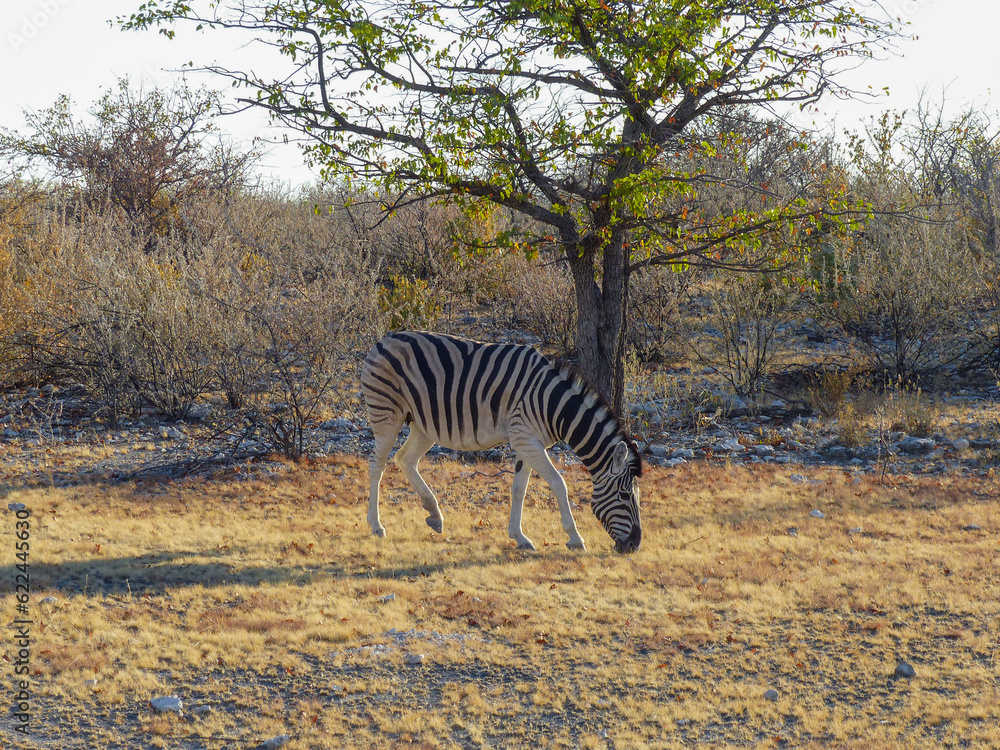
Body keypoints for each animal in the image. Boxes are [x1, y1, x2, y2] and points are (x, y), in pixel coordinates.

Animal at [361, 331, 642, 553]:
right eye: (625, 495)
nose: (635, 546)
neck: (553, 405)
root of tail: (383, 339)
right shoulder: (526, 439)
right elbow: (559, 484)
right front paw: (575, 538)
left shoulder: (527, 441)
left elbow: (519, 489)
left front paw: (520, 538)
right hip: (387, 415)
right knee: (377, 465)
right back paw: (376, 525)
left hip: (423, 426)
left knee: (404, 459)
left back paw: (434, 515)